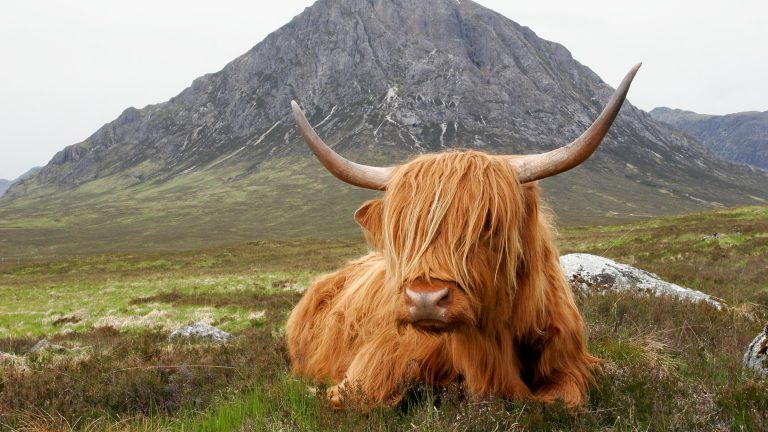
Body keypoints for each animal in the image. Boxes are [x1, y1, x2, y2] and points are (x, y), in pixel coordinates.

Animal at [284, 64, 640, 408]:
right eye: (403, 230)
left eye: (488, 222)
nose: (425, 300)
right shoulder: (376, 361)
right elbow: (359, 397)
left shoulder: (571, 363)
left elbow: (564, 400)